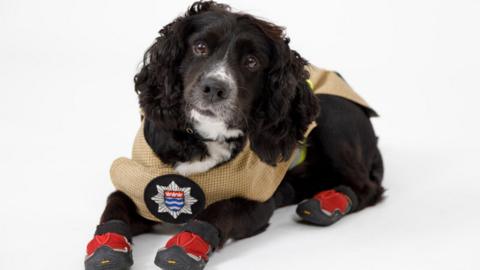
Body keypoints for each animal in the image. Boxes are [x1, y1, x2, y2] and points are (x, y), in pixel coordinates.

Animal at [84, 1, 384, 268]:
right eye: (200, 47)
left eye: (252, 62)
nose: (214, 88)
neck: (203, 137)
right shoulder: (139, 182)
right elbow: (115, 204)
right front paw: (106, 249)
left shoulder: (257, 202)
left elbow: (220, 209)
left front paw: (187, 246)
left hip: (332, 115)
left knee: (366, 186)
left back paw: (328, 204)